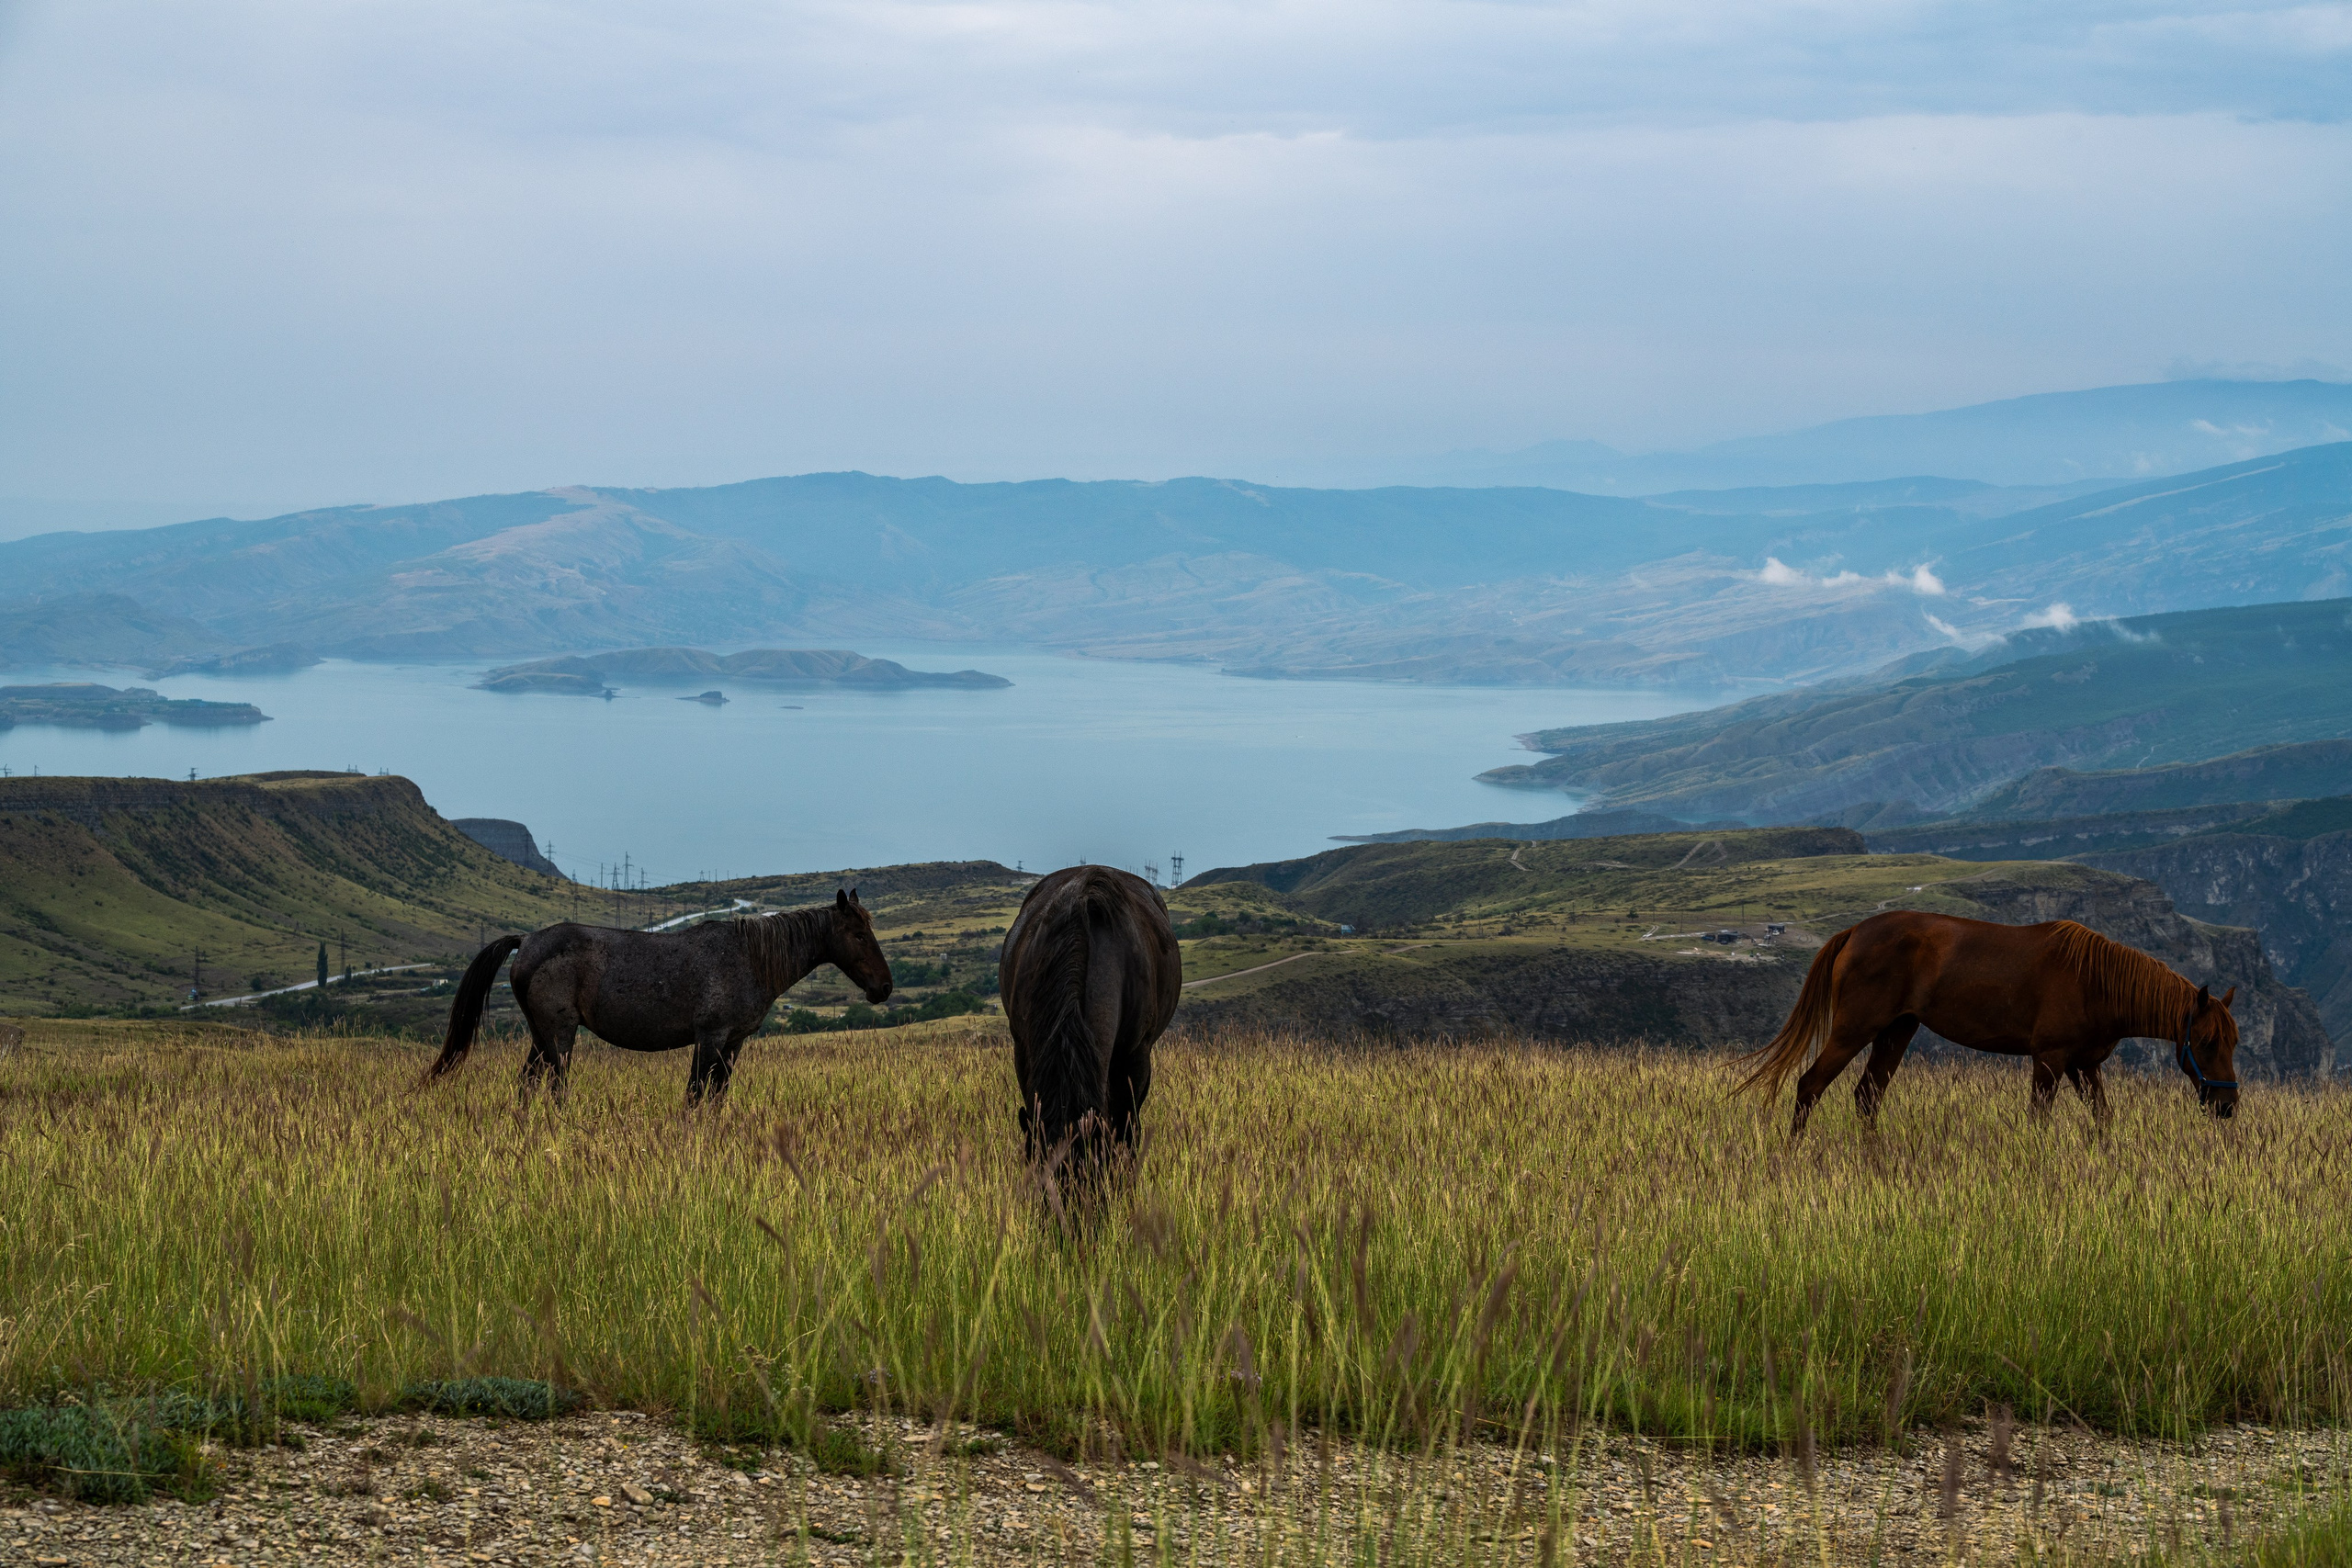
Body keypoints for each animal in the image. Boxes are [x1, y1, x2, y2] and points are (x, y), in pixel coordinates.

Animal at [425, 888, 893, 1105]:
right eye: (858, 933)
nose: (885, 987)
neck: (749, 957)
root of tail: (526, 942)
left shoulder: (733, 1044)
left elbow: (716, 1097)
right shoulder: (710, 1038)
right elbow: (694, 1095)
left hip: (541, 1038)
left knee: (526, 1085)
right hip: (559, 1036)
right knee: (556, 1088)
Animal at [1738, 910, 2239, 1133]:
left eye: (2232, 1043)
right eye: (2207, 1043)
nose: (2227, 1105)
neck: (2096, 982)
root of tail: (1855, 932)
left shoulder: (2084, 1066)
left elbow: (2103, 1119)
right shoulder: (2050, 1060)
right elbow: (2038, 1120)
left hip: (1896, 1033)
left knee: (1867, 1097)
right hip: (1854, 1030)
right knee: (1810, 1086)